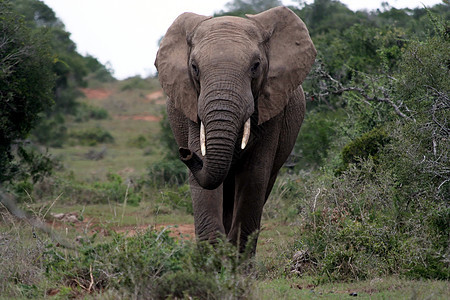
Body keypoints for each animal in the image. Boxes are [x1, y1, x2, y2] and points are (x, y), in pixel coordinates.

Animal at [155, 5, 316, 253]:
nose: (184, 152)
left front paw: (235, 258)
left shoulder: (272, 108)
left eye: (255, 66)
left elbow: (254, 175)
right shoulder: (192, 104)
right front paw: (213, 256)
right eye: (194, 68)